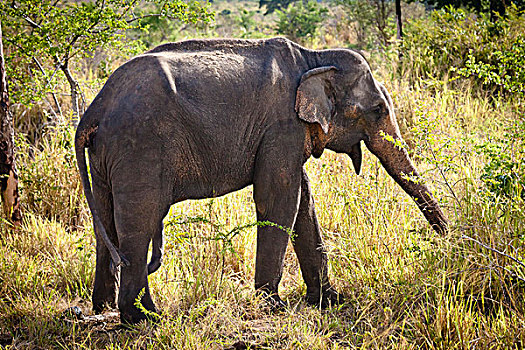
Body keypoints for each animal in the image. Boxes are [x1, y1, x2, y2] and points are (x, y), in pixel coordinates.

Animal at [75, 37, 448, 324]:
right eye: (377, 111)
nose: (446, 239)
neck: (315, 58)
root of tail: (95, 109)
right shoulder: (282, 126)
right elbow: (280, 199)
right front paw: (273, 305)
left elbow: (303, 202)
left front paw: (329, 301)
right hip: (139, 146)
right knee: (139, 223)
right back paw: (144, 318)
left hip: (106, 156)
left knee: (105, 220)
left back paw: (104, 308)